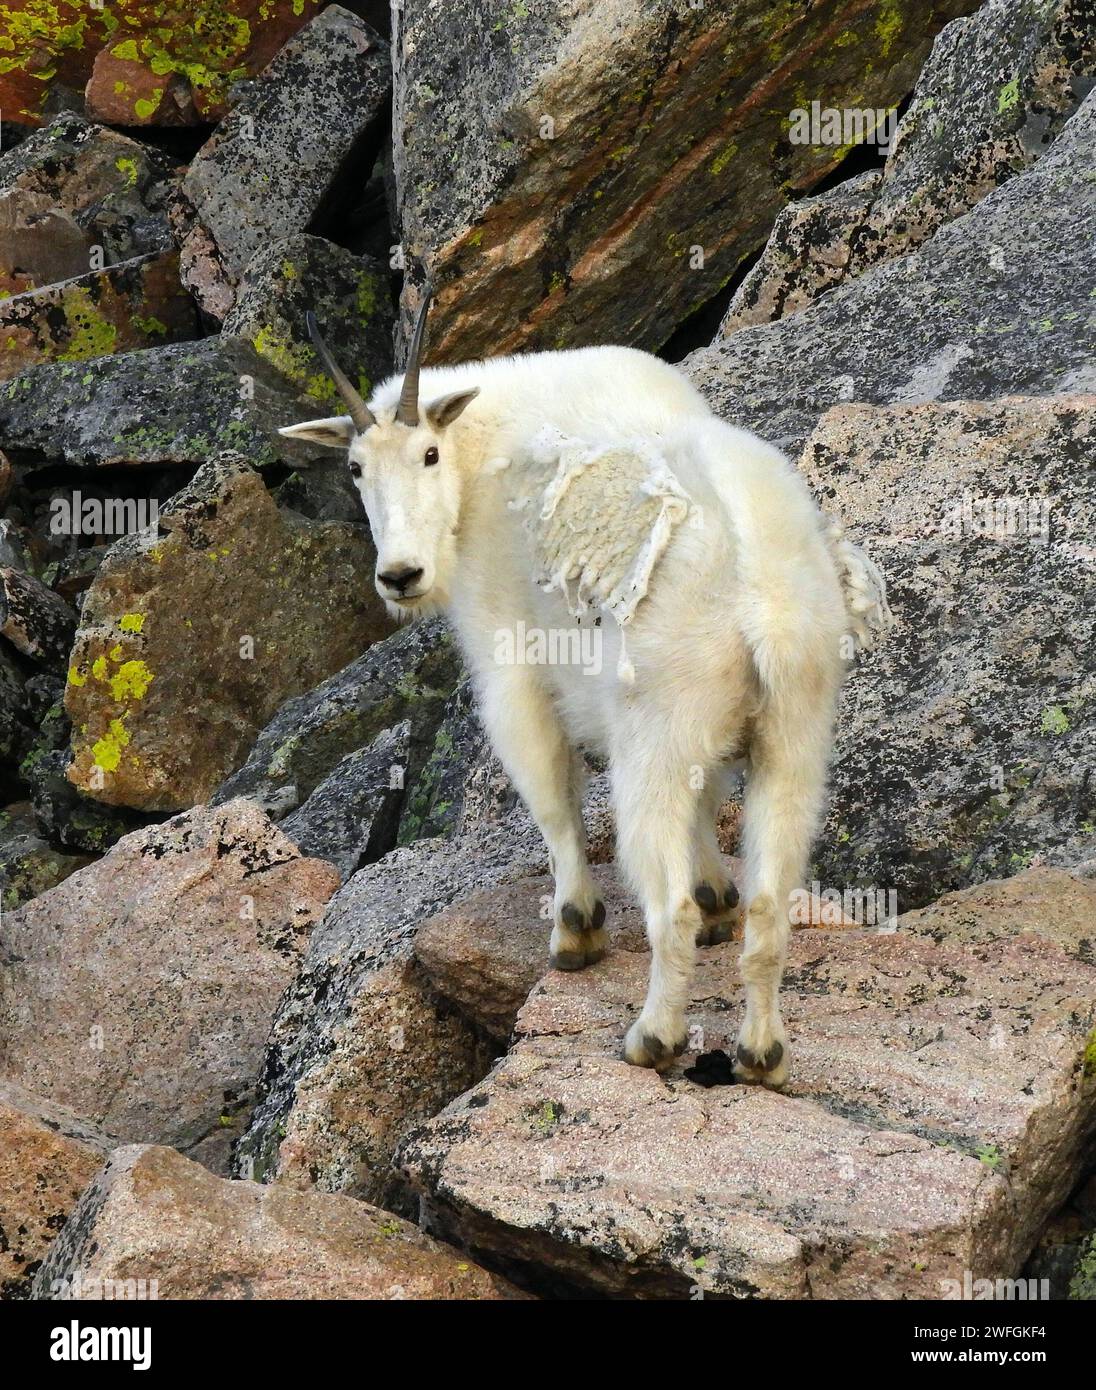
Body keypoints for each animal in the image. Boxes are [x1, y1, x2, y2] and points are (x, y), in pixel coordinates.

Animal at [280, 287, 890, 1078]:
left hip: (659, 733)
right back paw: (762, 1053)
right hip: (797, 727)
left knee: (666, 904)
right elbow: (709, 814)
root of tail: (762, 594)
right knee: (771, 897)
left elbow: (550, 790)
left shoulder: (509, 663)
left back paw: (654, 1036)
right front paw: (717, 894)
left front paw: (576, 929)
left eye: (428, 454)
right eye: (356, 469)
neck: (480, 447)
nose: (400, 576)